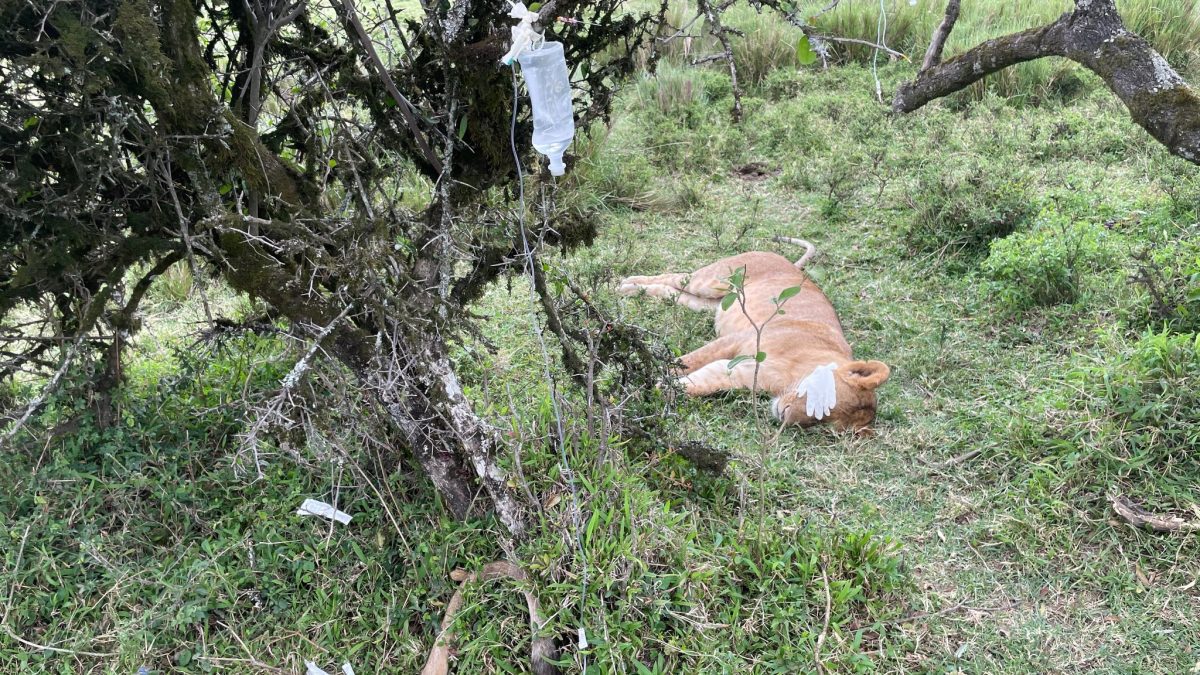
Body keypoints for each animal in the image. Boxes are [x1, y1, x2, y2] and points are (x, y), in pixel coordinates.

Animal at [617, 237, 890, 432]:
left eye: (819, 424)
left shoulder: (740, 372)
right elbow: (688, 361)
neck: (792, 375)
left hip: (708, 303)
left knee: (671, 292)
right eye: (821, 404)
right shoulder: (738, 339)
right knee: (675, 277)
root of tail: (789, 263)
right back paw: (623, 285)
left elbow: (698, 382)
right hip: (712, 280)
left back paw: (632, 290)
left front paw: (658, 388)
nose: (783, 416)